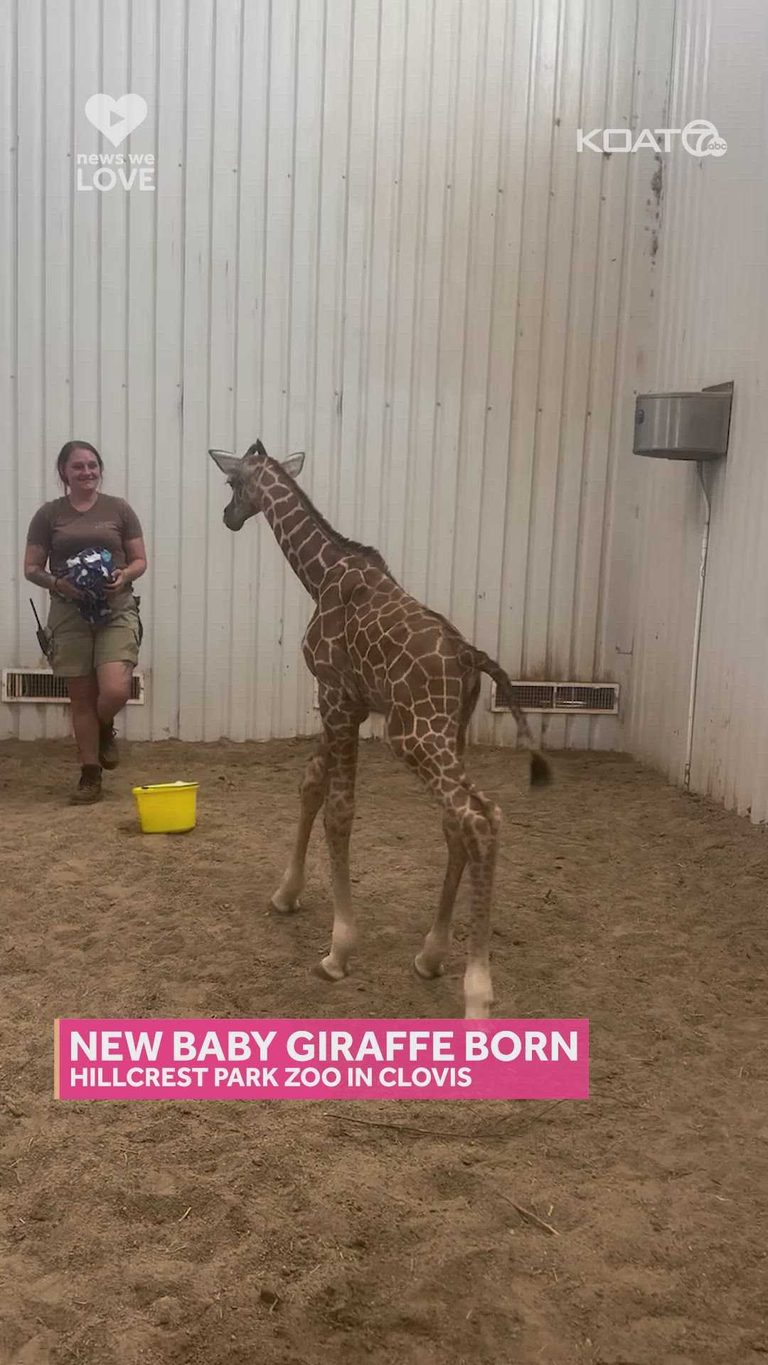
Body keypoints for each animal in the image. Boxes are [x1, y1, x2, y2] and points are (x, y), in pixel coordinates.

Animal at [210, 440, 550, 1018]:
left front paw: (338, 950)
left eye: (234, 483)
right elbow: (311, 784)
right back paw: (431, 955)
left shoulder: (335, 695)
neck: (319, 574)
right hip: (448, 733)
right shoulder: (346, 702)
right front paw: (286, 895)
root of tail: (470, 658)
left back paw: (477, 994)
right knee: (466, 819)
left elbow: (339, 812)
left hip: (414, 735)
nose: (229, 517)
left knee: (476, 819)